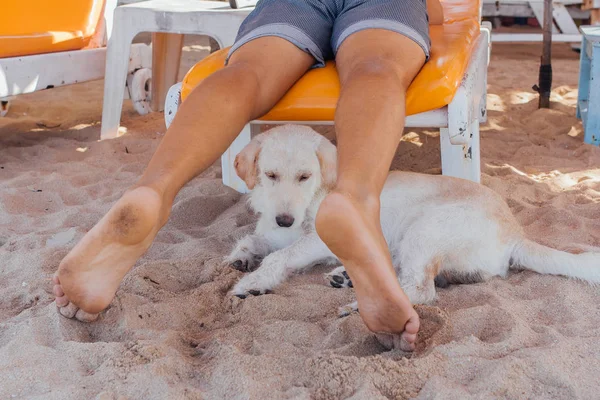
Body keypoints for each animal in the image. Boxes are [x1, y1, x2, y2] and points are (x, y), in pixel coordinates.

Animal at [225, 125, 600, 312]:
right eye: (270, 175)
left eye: (305, 177)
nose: (284, 220)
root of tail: (516, 234)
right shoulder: (273, 231)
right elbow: (253, 239)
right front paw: (240, 257)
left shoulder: (317, 239)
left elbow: (278, 257)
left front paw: (252, 283)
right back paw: (346, 277)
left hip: (424, 230)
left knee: (421, 289)